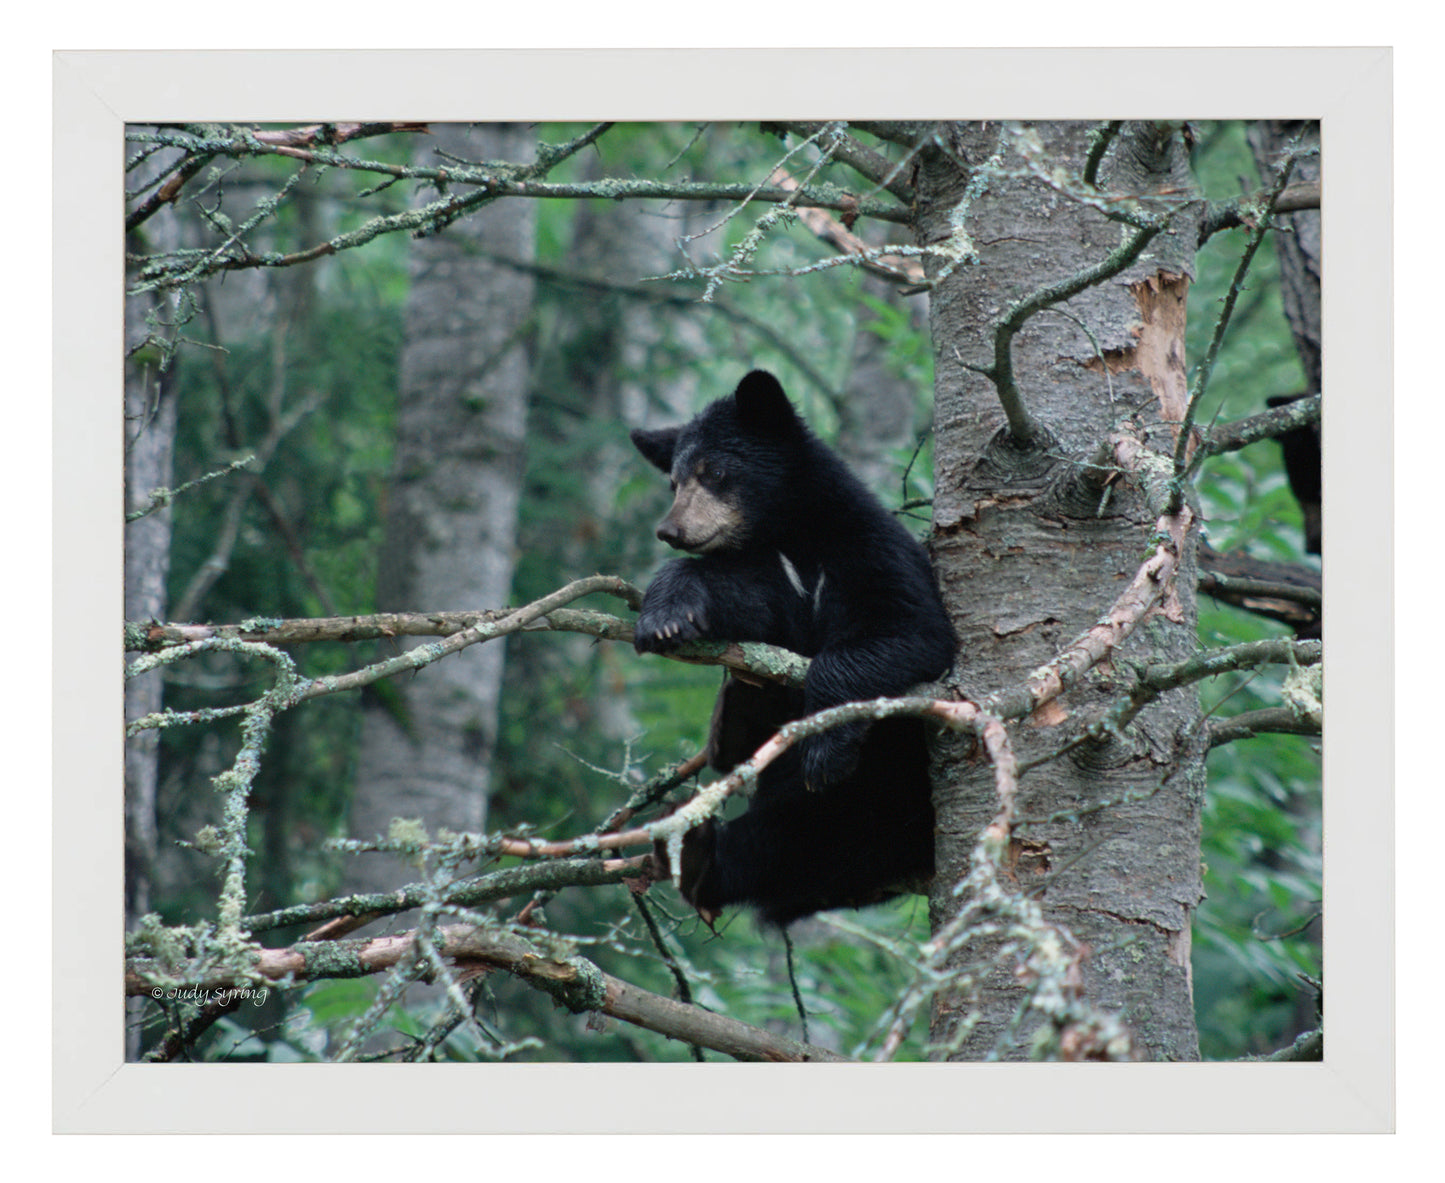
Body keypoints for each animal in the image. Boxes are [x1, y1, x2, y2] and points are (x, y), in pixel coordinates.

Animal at [630, 369, 957, 927]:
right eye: (673, 481)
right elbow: (743, 599)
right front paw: (668, 616)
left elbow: (909, 630)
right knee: (782, 844)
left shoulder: (865, 548)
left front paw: (825, 746)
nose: (670, 530)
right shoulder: (772, 573)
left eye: (714, 471)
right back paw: (696, 849)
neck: (790, 531)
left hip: (887, 786)